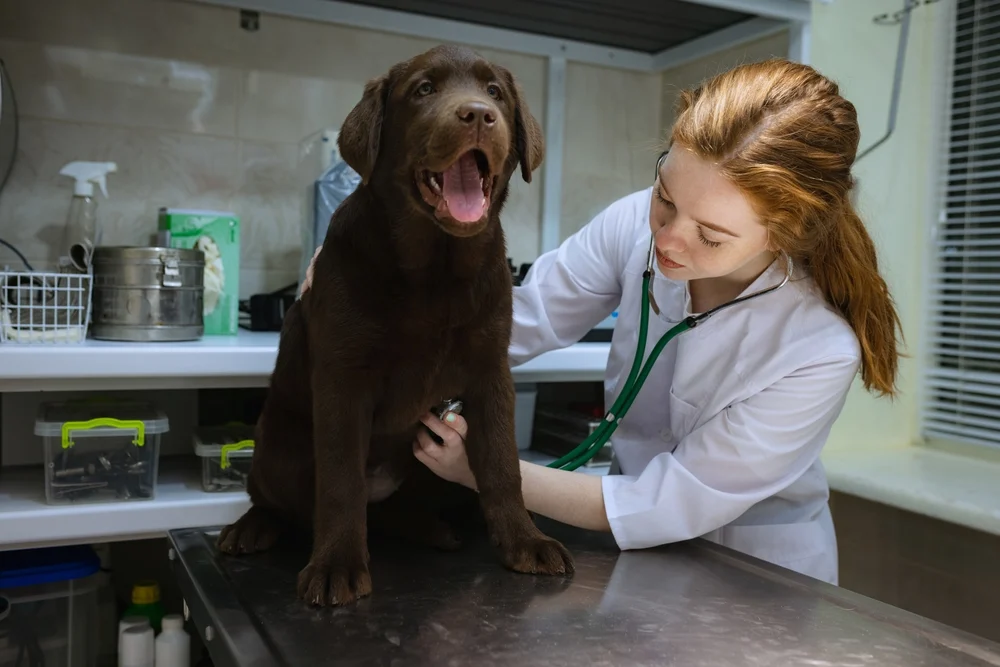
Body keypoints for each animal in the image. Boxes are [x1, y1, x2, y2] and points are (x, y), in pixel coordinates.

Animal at [222, 44, 576, 608]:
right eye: (423, 90)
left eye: (495, 92)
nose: (479, 114)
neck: (436, 269)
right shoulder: (344, 378)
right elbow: (340, 481)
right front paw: (336, 565)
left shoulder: (490, 371)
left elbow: (504, 466)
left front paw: (526, 542)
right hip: (277, 443)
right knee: (282, 499)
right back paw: (250, 528)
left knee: (391, 510)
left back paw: (433, 529)